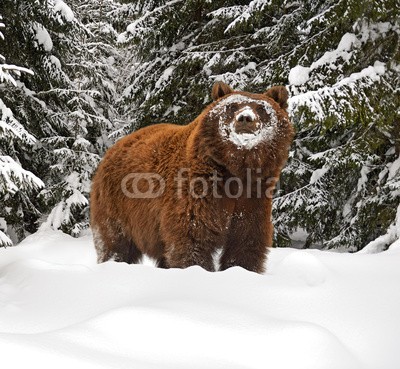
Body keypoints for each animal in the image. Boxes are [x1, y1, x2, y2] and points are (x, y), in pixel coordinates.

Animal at [90, 83, 294, 274]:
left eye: (261, 108)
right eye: (232, 106)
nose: (245, 118)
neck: (236, 170)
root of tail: (113, 149)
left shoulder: (253, 196)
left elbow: (245, 241)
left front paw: (241, 270)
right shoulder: (199, 189)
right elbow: (192, 235)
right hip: (118, 203)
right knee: (115, 241)